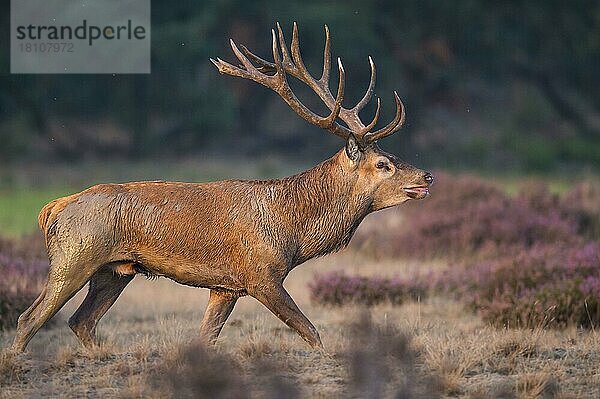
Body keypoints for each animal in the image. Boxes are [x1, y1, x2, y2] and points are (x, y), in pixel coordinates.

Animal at [10, 22, 432, 354]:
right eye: (383, 164)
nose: (427, 177)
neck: (294, 230)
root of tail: (54, 207)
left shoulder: (225, 287)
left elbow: (205, 338)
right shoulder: (260, 275)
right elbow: (312, 332)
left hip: (115, 271)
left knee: (81, 321)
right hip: (74, 257)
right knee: (30, 318)